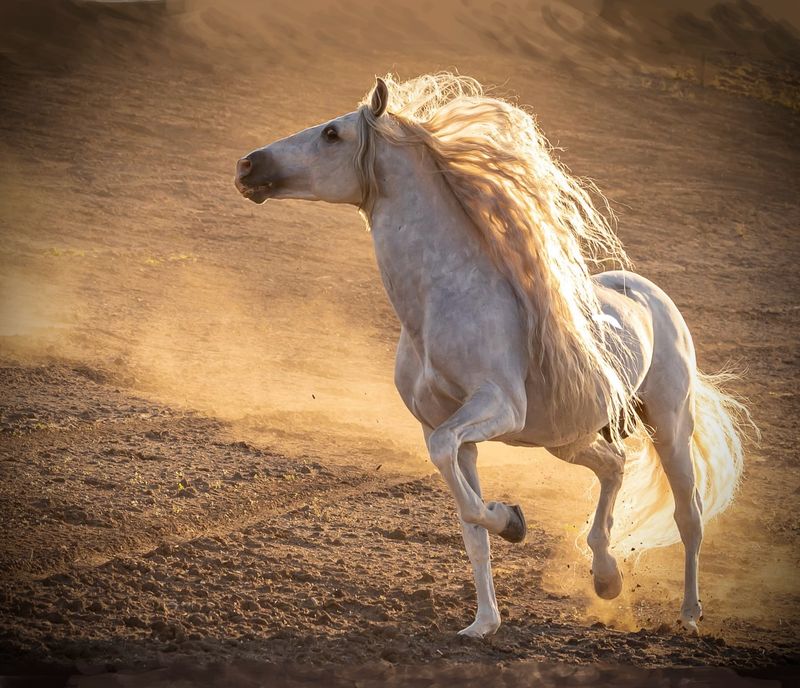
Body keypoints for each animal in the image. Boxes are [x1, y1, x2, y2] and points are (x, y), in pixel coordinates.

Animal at [234, 74, 752, 640]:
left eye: (332, 134)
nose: (248, 166)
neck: (440, 302)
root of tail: (650, 294)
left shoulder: (497, 406)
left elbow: (462, 483)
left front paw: (512, 521)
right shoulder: (448, 429)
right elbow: (469, 522)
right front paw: (484, 622)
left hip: (668, 423)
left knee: (689, 515)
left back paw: (689, 616)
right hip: (565, 438)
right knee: (613, 467)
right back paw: (606, 577)